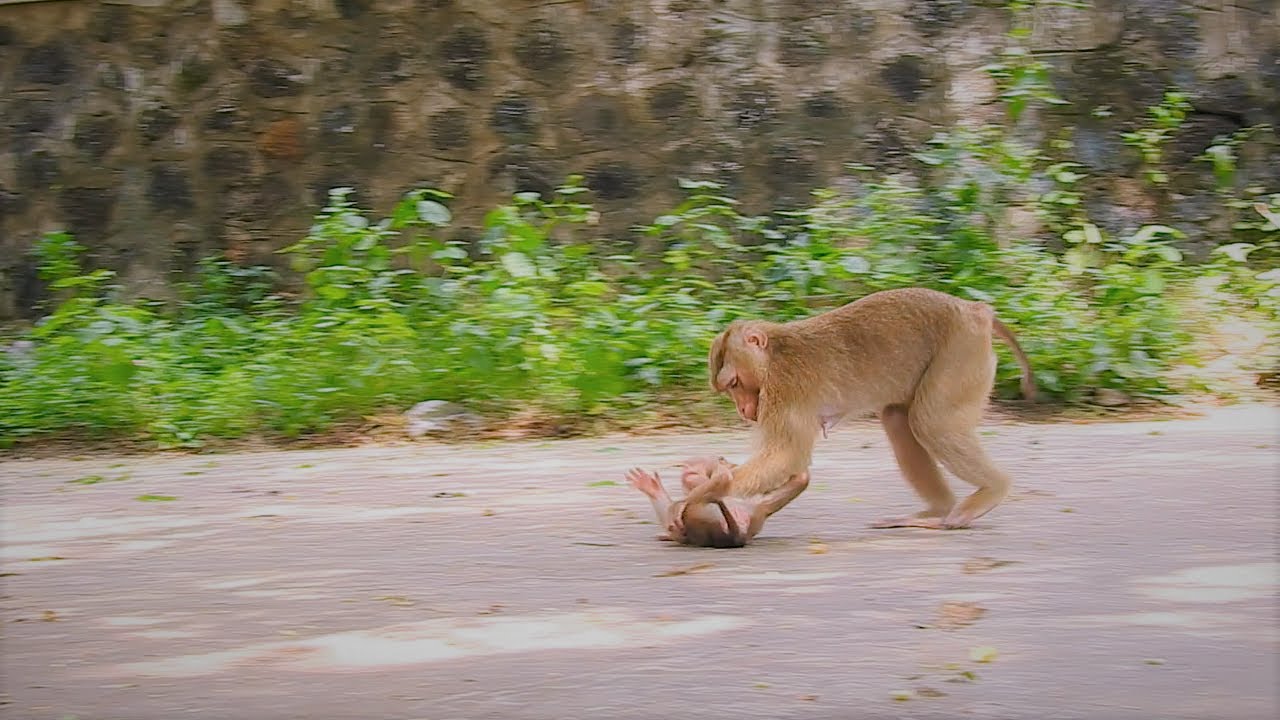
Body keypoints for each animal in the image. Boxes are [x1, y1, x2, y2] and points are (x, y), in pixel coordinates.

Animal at [699, 286, 1035, 531]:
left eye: (734, 383)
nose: (743, 410)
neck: (775, 355)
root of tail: (975, 310)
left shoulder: (786, 387)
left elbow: (786, 454)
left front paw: (708, 490)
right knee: (899, 419)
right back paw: (933, 511)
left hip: (961, 351)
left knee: (930, 422)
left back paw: (993, 490)